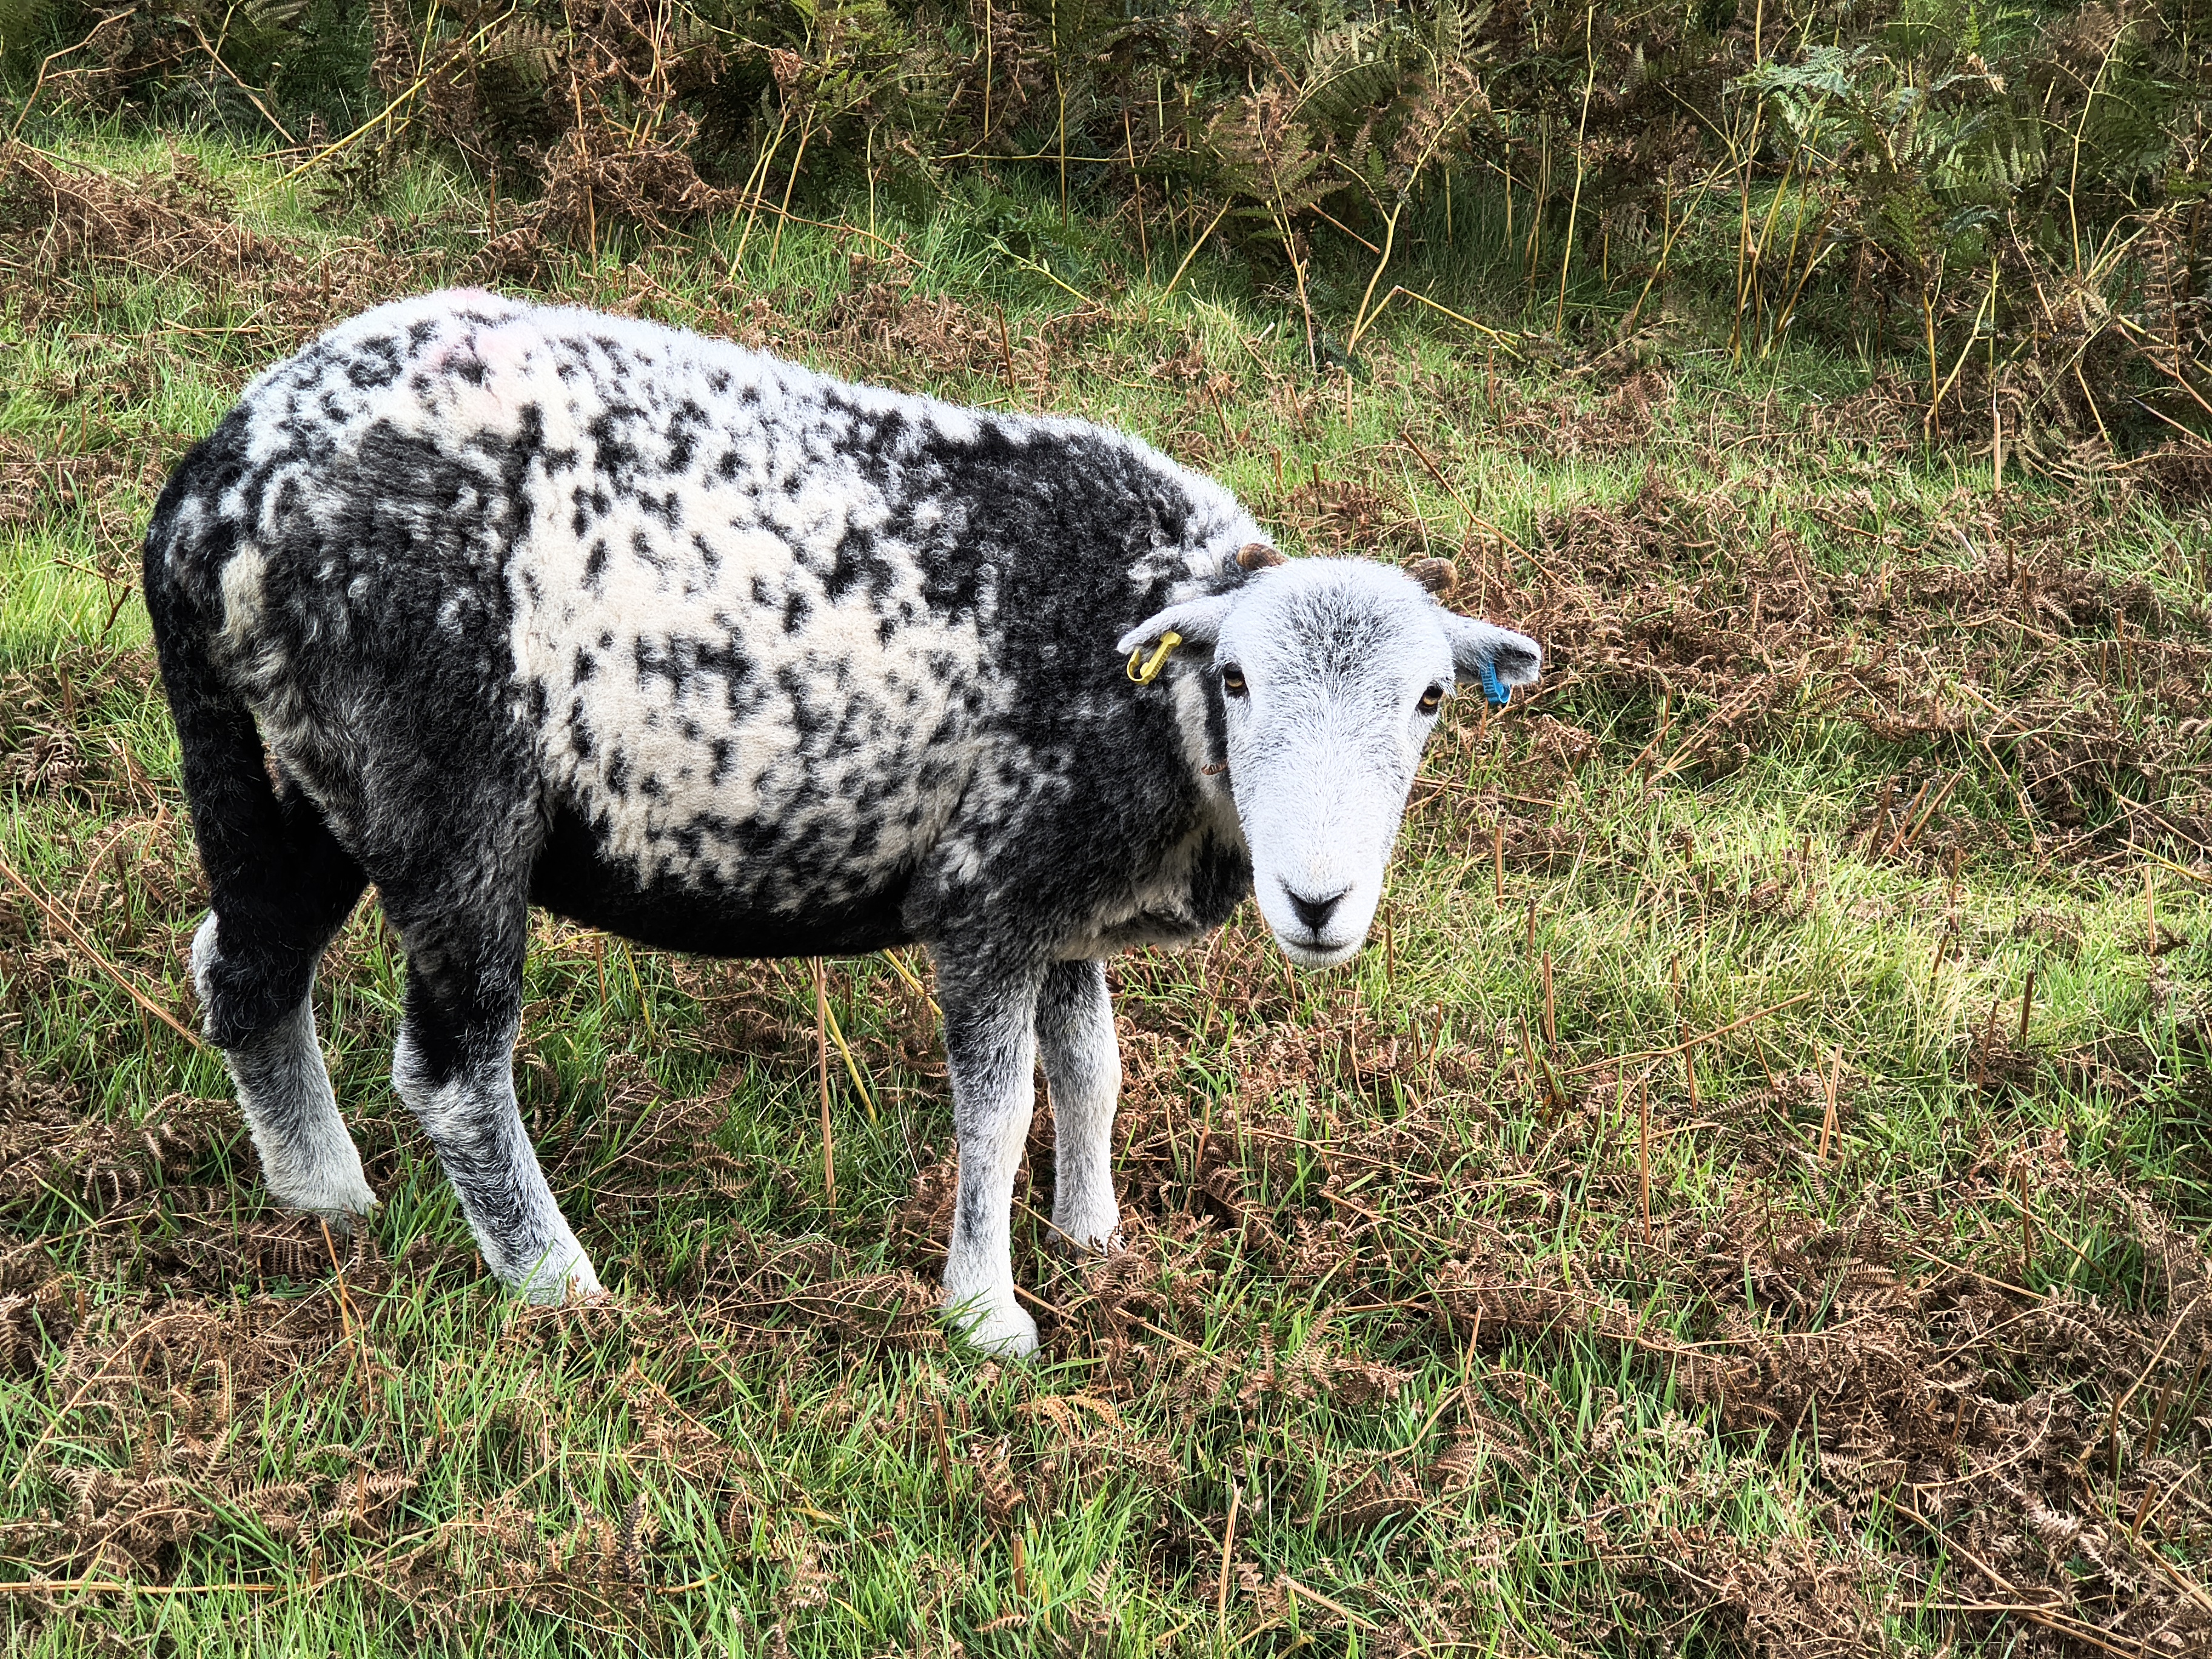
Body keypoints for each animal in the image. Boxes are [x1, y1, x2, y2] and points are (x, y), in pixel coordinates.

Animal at [142, 289, 1542, 1356]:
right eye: (1238, 680)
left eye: (1428, 700)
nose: (1319, 903)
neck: (1145, 697)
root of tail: (218, 485)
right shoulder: (987, 895)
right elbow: (1003, 1109)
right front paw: (988, 1318)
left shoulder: (1062, 893)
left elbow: (1093, 1069)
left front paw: (1096, 1242)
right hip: (441, 778)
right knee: (451, 1065)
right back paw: (557, 1285)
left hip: (304, 767)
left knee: (247, 967)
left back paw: (323, 1202)